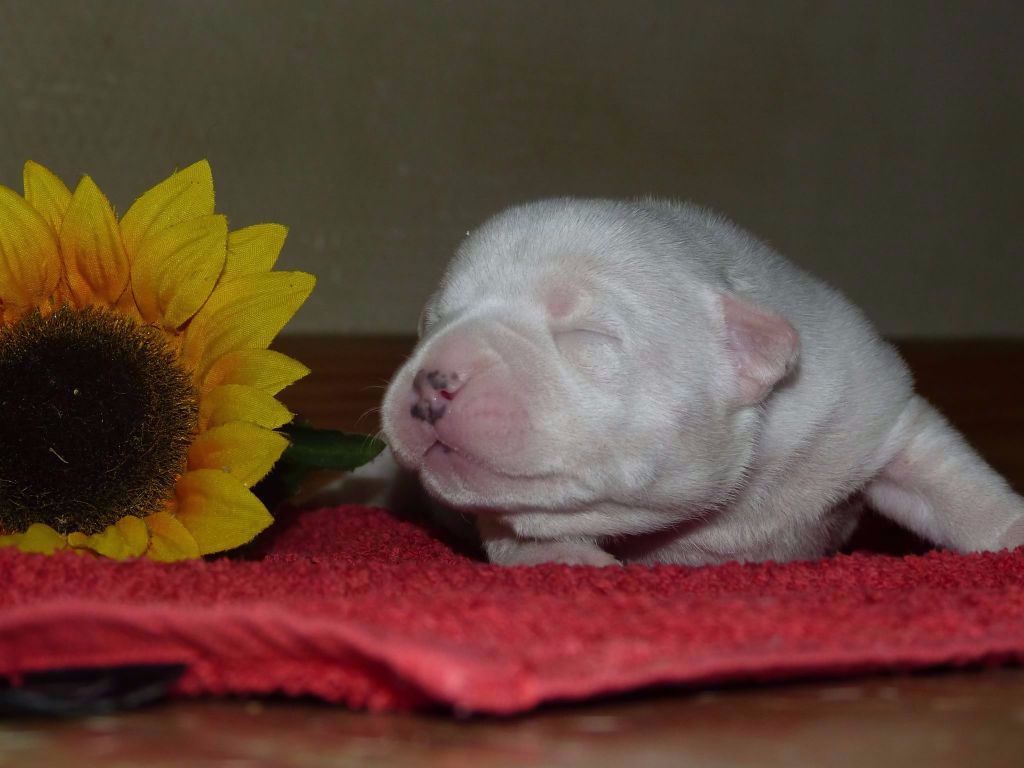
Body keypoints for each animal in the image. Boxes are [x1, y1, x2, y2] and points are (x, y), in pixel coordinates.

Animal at [370, 198, 1024, 566]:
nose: (432, 380)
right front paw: (563, 558)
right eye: (433, 321)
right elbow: (510, 523)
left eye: (586, 336)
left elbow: (951, 482)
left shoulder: (867, 409)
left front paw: (1012, 533)